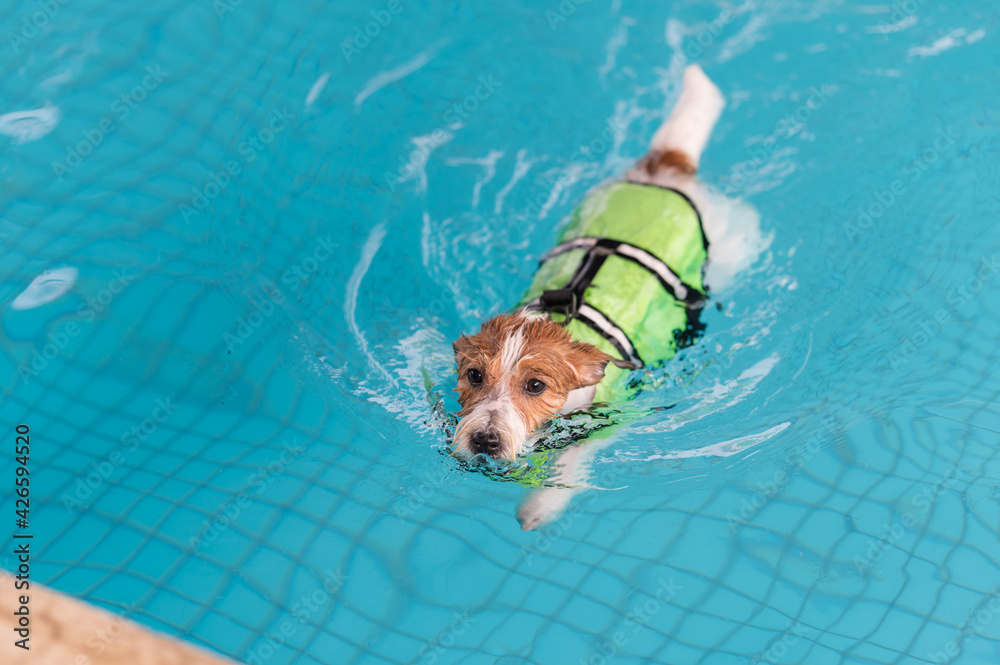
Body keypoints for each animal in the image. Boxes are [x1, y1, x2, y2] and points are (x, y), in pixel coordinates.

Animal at [450, 66, 760, 528]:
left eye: (536, 385)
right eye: (473, 376)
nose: (486, 441)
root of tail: (663, 168)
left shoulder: (606, 419)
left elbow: (570, 463)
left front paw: (540, 505)